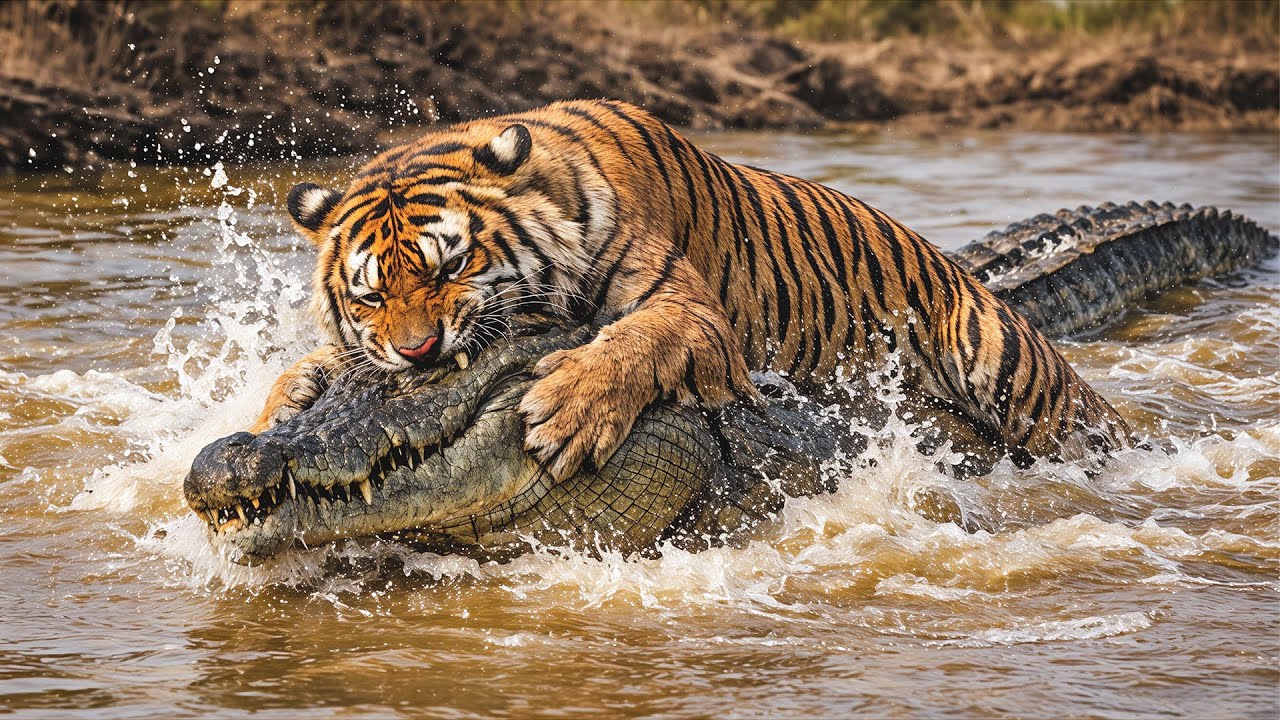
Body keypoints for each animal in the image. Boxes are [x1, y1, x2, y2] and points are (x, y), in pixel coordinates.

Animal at [250, 99, 1129, 478]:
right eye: (370, 296)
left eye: (452, 266)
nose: (419, 350)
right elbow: (300, 372)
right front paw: (272, 415)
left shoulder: (690, 308)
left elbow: (635, 342)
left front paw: (568, 412)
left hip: (1012, 367)